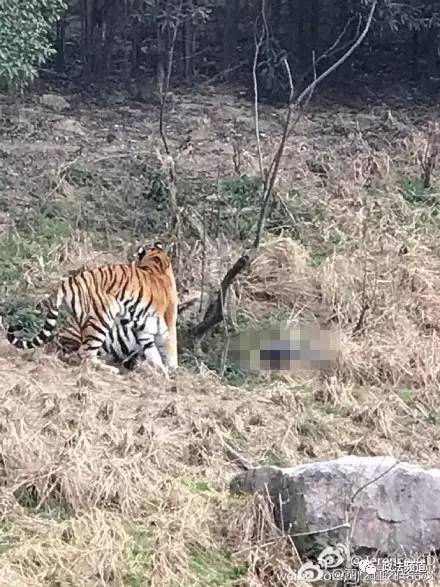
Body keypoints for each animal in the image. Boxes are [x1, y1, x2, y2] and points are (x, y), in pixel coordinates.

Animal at [6, 241, 178, 374]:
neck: (157, 263)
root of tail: (67, 281)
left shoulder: (144, 331)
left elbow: (153, 353)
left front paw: (160, 372)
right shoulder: (168, 324)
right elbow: (170, 349)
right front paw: (172, 372)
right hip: (100, 320)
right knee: (84, 353)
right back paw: (109, 369)